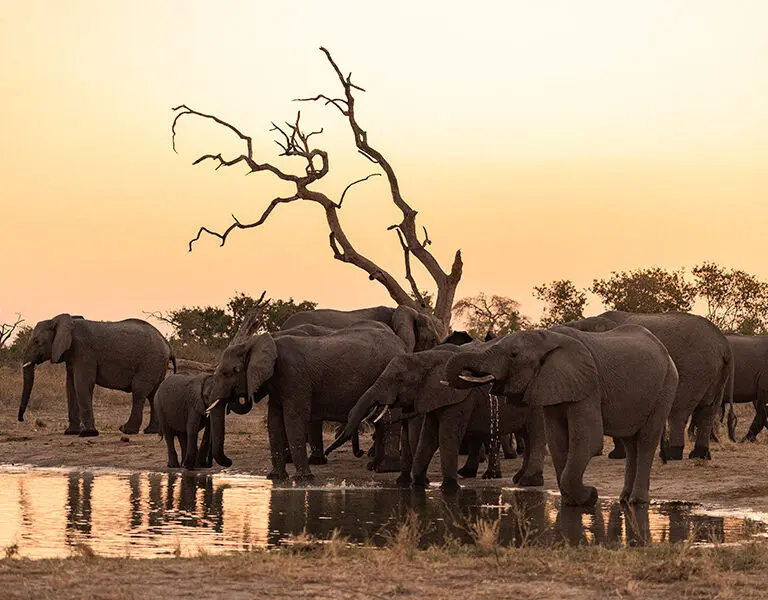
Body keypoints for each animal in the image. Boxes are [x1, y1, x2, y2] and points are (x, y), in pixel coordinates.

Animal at [18, 314, 176, 436]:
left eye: (37, 341)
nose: (21, 419)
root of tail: (167, 344)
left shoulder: (83, 351)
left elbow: (82, 384)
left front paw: (88, 434)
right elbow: (70, 386)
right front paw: (71, 433)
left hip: (150, 361)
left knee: (139, 392)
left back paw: (127, 430)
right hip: (157, 364)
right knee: (153, 394)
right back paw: (151, 431)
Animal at [209, 320, 406, 482]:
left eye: (228, 373)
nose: (229, 462)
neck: (258, 342)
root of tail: (401, 345)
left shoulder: (294, 376)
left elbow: (293, 419)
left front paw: (303, 479)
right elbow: (274, 422)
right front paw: (275, 478)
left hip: (391, 377)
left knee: (388, 419)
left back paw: (385, 469)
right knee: (380, 421)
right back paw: (373, 467)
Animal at [326, 343, 546, 492]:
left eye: (399, 379)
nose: (361, 452)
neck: (425, 358)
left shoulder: (458, 400)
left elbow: (446, 436)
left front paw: (448, 488)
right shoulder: (431, 397)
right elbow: (428, 438)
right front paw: (418, 485)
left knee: (535, 434)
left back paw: (525, 481)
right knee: (527, 436)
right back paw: (516, 479)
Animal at [445, 325, 678, 506]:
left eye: (513, 355)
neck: (548, 338)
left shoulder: (587, 386)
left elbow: (587, 440)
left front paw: (589, 496)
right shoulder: (552, 385)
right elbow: (557, 440)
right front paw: (572, 502)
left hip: (666, 386)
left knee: (646, 440)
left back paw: (637, 502)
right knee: (630, 443)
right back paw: (624, 500)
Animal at [566, 311, 733, 460]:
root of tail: (724, 346)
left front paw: (616, 456)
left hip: (696, 369)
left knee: (679, 411)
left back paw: (673, 454)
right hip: (717, 373)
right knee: (708, 412)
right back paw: (700, 455)